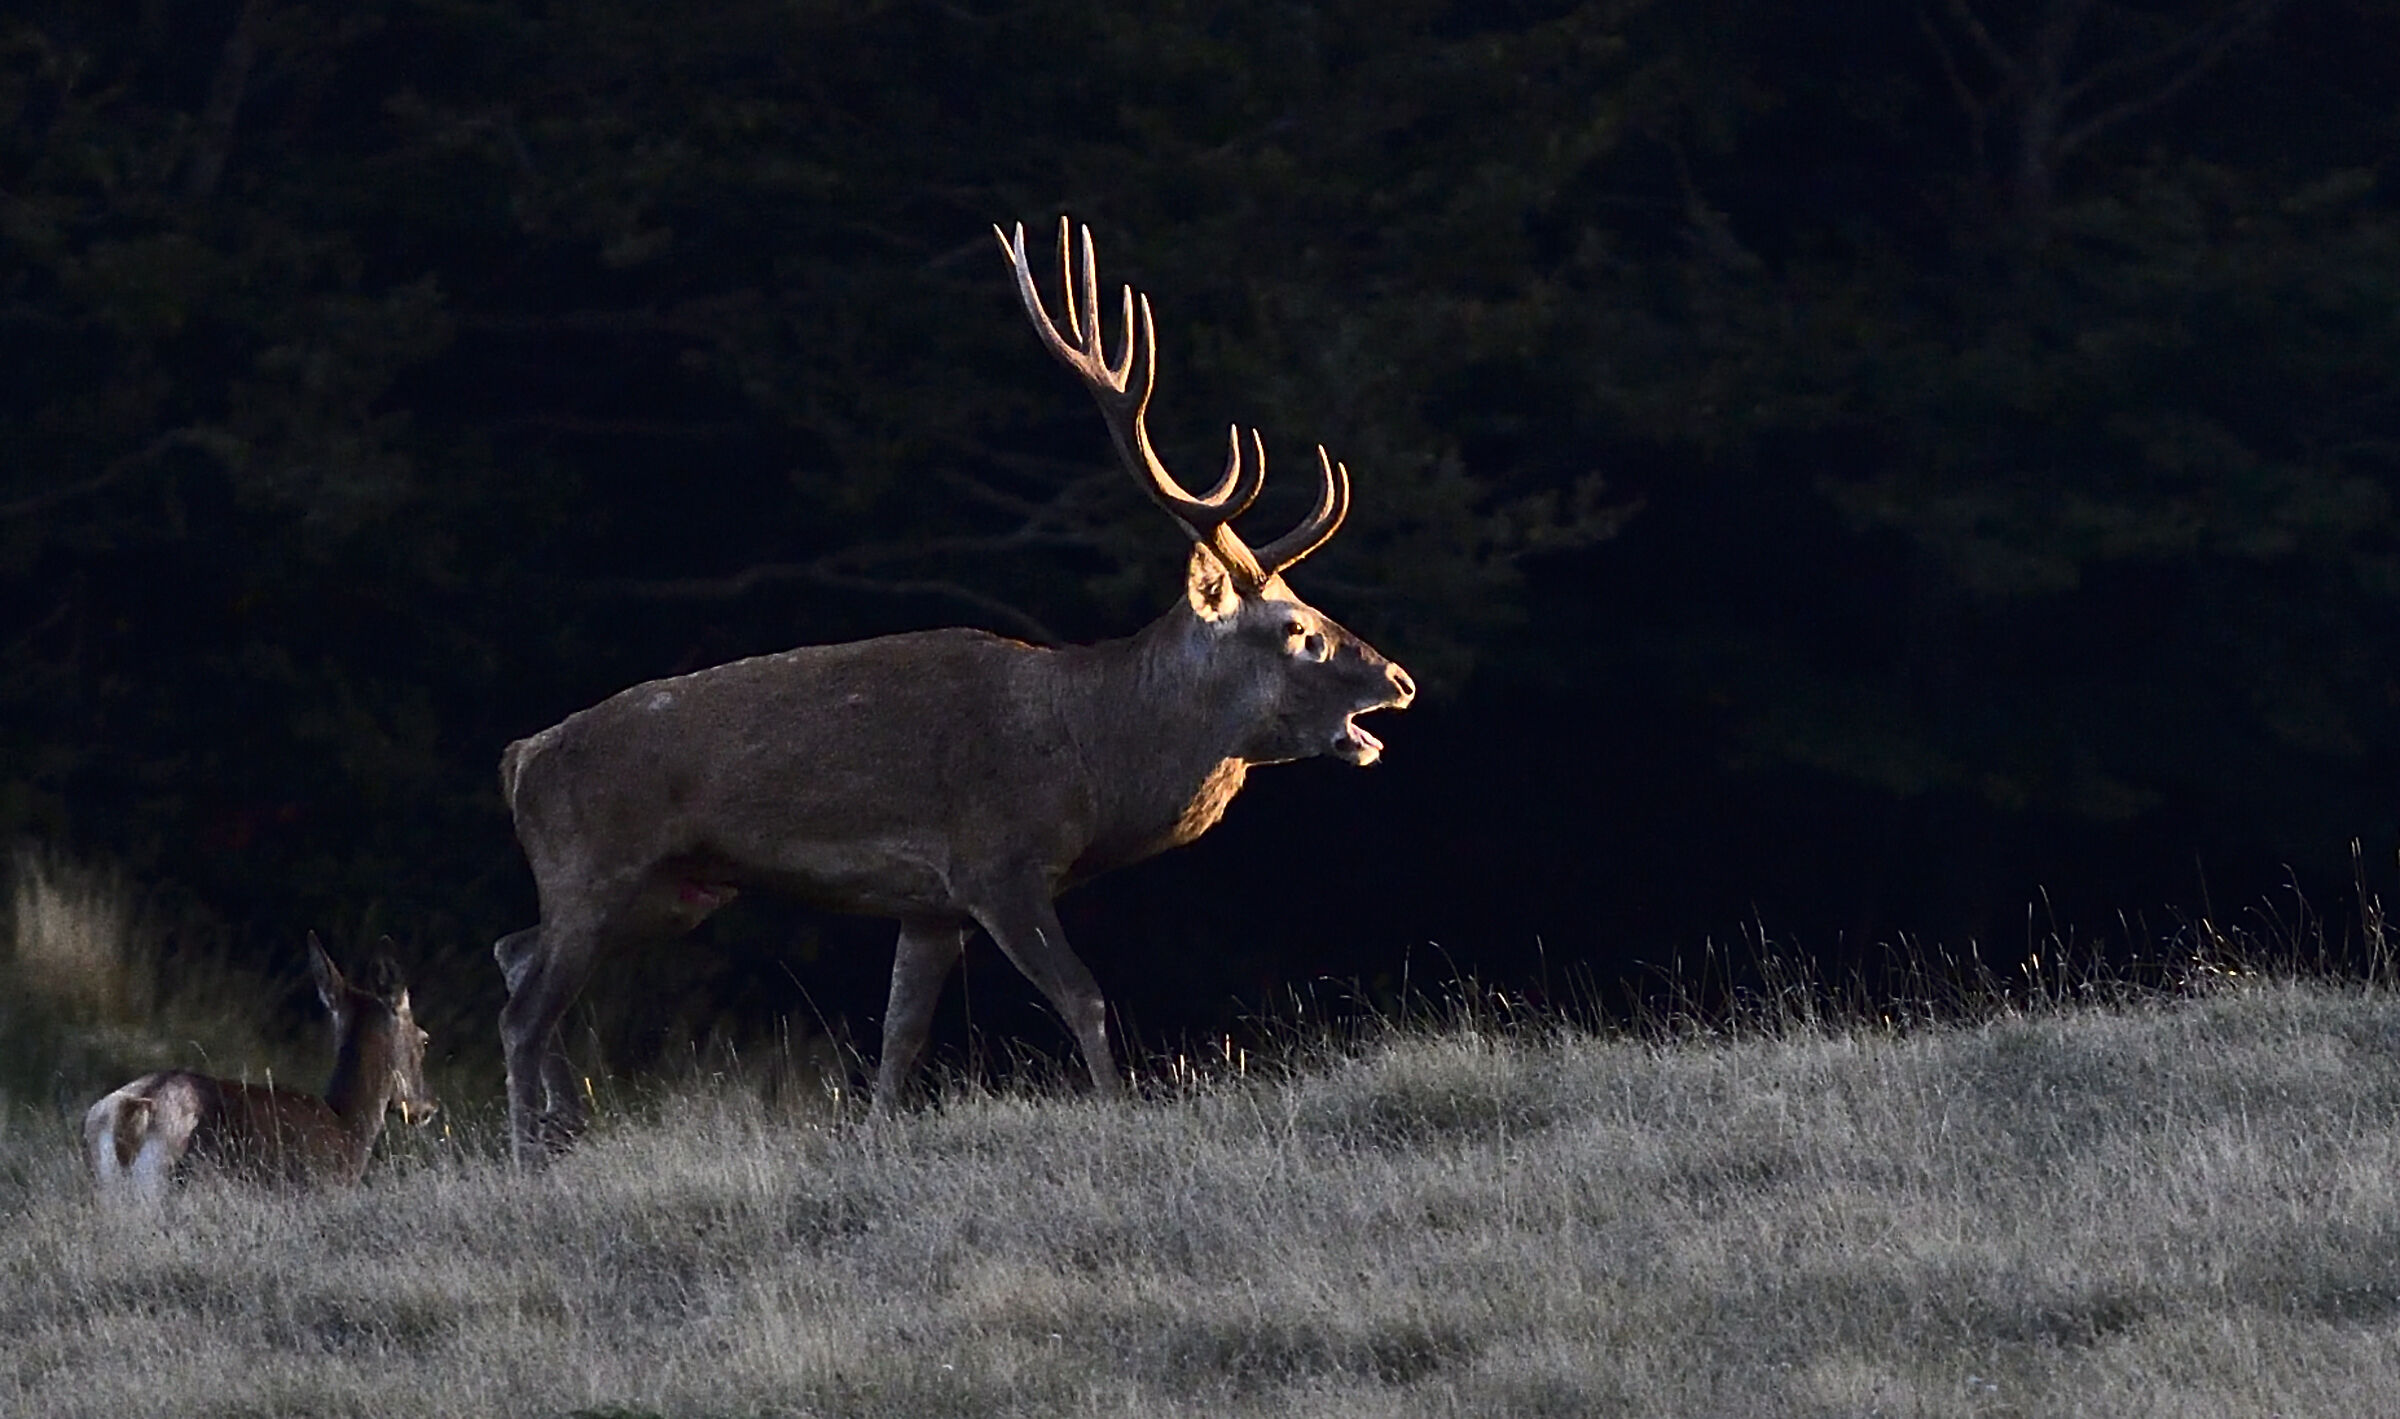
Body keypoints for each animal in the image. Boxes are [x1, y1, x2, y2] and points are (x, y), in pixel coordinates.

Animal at [492, 218, 1415, 1162]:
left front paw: (876, 1134)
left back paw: (563, 1125)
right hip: (593, 864)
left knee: (516, 952)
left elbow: (901, 1032)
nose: (1399, 681)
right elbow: (1083, 994)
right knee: (524, 1008)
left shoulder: (929, 903)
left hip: (674, 889)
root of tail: (520, 757)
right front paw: (1118, 1109)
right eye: (1298, 631)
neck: (1089, 755)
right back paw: (529, 1148)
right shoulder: (995, 862)